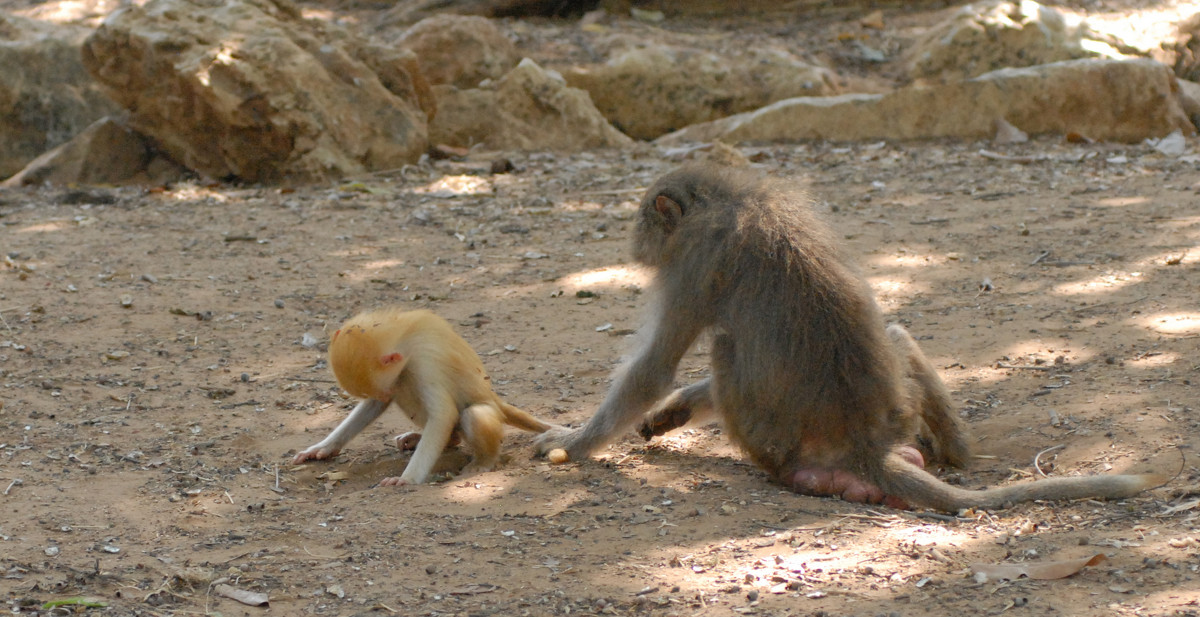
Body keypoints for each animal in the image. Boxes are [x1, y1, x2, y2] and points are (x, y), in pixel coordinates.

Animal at [292, 304, 554, 482]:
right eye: (382, 392)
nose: (386, 393)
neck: (404, 338)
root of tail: (495, 399)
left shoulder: (423, 362)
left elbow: (443, 414)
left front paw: (406, 479)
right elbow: (375, 405)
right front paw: (323, 448)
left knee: (474, 414)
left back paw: (483, 461)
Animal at [537, 162, 1161, 508]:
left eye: (645, 220)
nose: (632, 242)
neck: (729, 200)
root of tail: (865, 446)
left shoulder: (692, 264)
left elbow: (653, 368)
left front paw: (572, 439)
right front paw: (668, 412)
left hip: (769, 438)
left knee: (725, 349)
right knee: (898, 336)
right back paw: (956, 451)